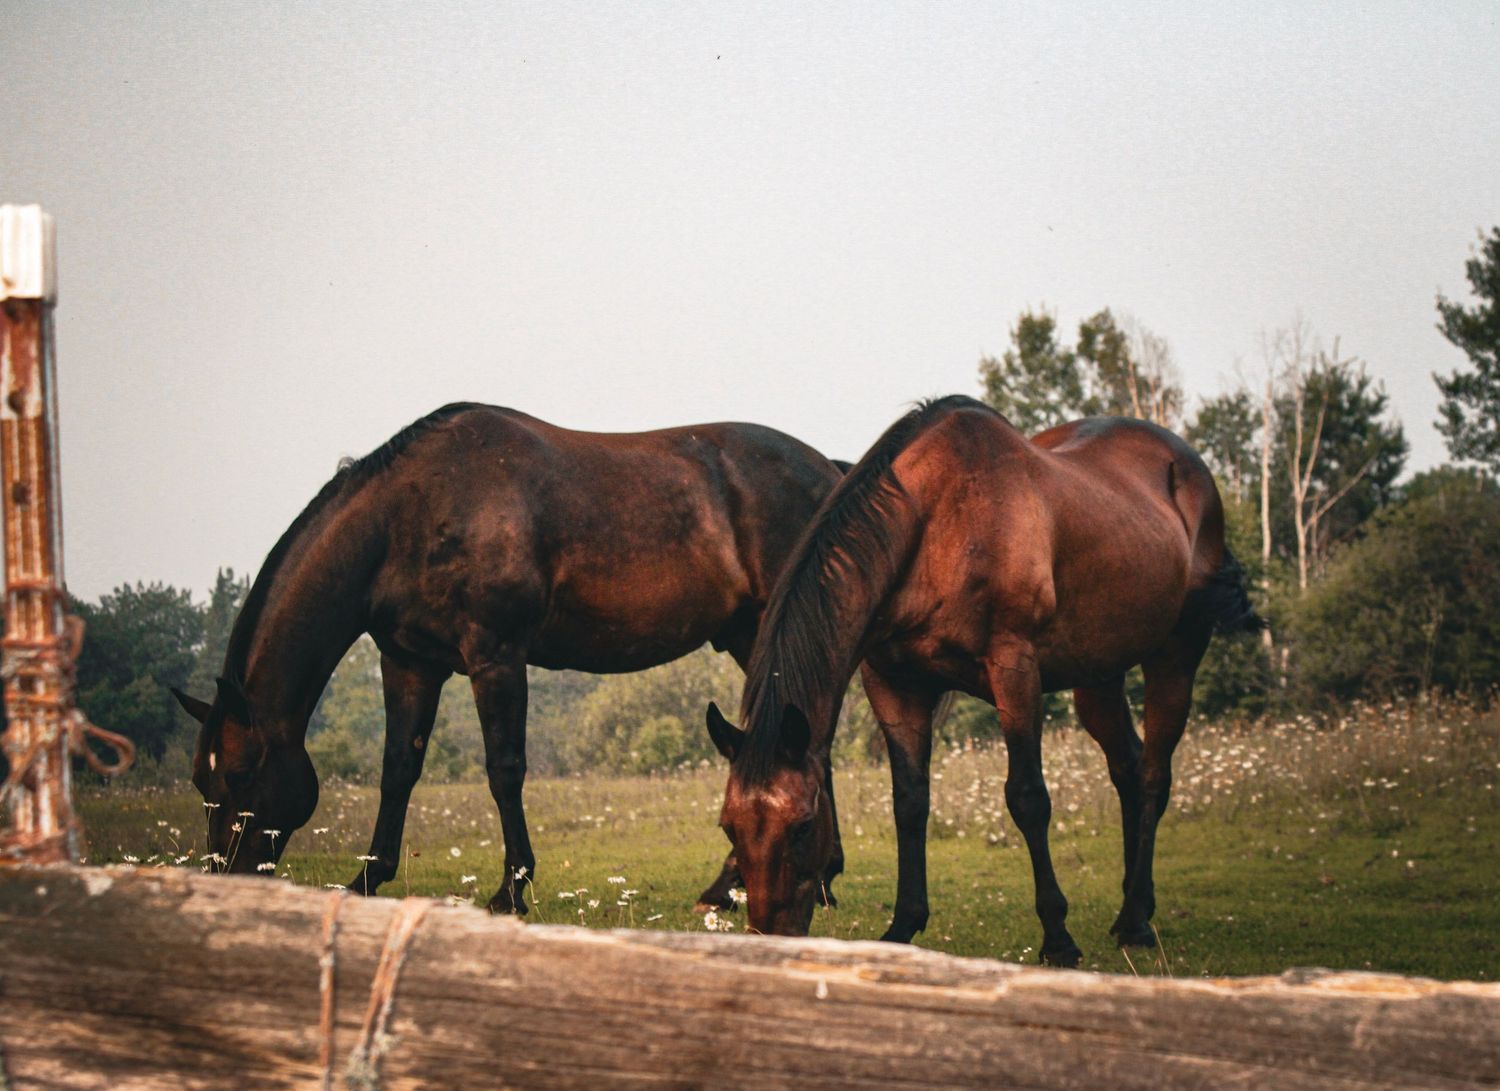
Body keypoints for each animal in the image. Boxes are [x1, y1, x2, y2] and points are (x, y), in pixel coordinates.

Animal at [171, 402, 848, 913]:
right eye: (200, 779)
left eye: (239, 775)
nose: (225, 876)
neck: (409, 514)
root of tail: (830, 470)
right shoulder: (410, 663)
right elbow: (398, 769)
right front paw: (367, 878)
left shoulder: (495, 656)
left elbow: (504, 769)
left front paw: (510, 889)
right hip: (747, 636)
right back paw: (808, 876)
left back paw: (744, 884)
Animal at [706, 395, 1262, 966]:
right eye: (729, 827)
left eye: (802, 827)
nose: (768, 937)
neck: (934, 527)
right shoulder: (894, 684)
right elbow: (909, 802)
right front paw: (902, 926)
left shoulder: (1014, 668)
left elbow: (1028, 798)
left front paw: (1058, 938)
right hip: (1098, 675)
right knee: (1128, 769)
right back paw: (1135, 905)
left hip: (1176, 654)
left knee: (1153, 776)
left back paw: (1135, 923)